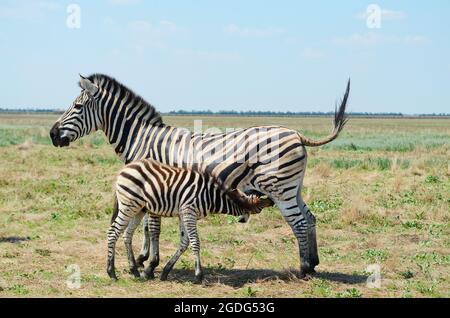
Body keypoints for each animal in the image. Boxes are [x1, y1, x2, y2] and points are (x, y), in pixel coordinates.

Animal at [107, 160, 272, 282]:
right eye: (259, 209)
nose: (271, 201)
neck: (210, 196)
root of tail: (126, 168)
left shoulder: (184, 215)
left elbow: (184, 242)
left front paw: (164, 271)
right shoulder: (188, 212)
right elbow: (195, 242)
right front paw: (199, 275)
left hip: (138, 209)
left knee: (127, 234)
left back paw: (134, 271)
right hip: (129, 205)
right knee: (113, 232)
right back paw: (111, 273)